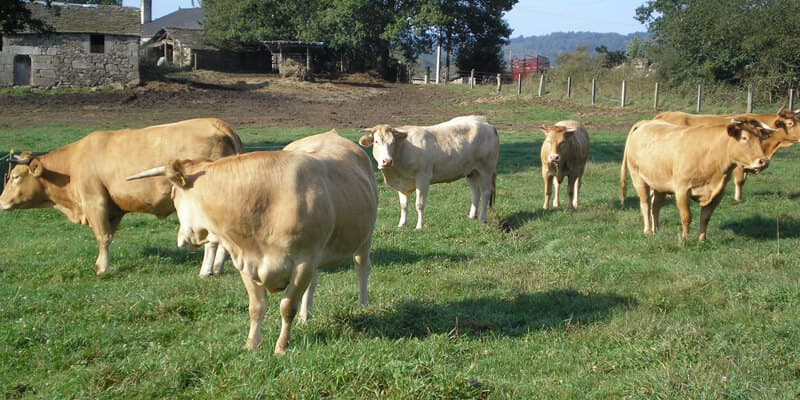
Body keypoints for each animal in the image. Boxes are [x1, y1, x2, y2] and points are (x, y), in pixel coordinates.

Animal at [0, 118, 244, 276]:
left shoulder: (95, 201)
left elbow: (103, 237)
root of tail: (217, 124)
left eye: (16, 176)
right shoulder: (114, 208)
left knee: (212, 240)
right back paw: (218, 267)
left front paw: (102, 268)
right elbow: (109, 235)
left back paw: (206, 270)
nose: (1, 201)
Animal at [126, 130, 378, 354]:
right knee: (314, 283)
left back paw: (363, 305)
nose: (183, 239)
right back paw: (306, 316)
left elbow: (287, 307)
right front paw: (252, 344)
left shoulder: (303, 262)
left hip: (364, 238)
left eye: (174, 196)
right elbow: (256, 307)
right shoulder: (247, 262)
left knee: (361, 268)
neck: (265, 201)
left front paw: (281, 347)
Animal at [358, 115, 496, 228]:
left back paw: (482, 218)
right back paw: (472, 217)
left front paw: (419, 226)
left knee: (485, 192)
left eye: (392, 143)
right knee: (475, 192)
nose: (387, 161)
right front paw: (402, 224)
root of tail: (485, 121)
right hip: (471, 171)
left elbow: (419, 204)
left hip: (486, 169)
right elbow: (403, 205)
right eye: (376, 141)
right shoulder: (401, 182)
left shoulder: (423, 177)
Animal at [620, 117, 776, 239]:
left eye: (760, 138)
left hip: (659, 184)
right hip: (638, 179)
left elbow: (705, 218)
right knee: (645, 204)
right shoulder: (682, 190)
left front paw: (702, 239)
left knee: (655, 207)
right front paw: (685, 239)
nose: (763, 162)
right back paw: (647, 231)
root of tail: (646, 122)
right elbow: (686, 217)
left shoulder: (718, 193)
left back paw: (656, 230)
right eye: (744, 138)